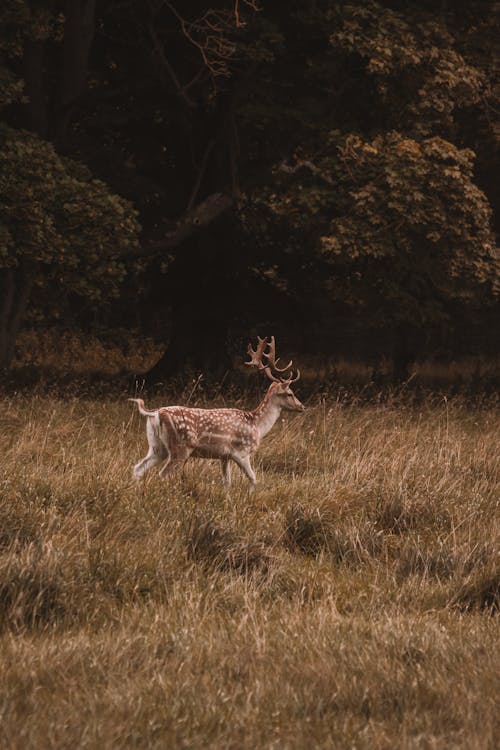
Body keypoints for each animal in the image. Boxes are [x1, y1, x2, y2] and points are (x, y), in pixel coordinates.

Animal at [128, 336, 304, 494]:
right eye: (290, 393)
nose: (302, 407)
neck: (257, 425)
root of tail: (155, 413)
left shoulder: (224, 456)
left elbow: (227, 482)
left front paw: (226, 500)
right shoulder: (241, 452)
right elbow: (253, 478)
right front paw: (248, 499)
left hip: (157, 446)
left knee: (138, 468)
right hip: (181, 447)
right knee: (161, 474)